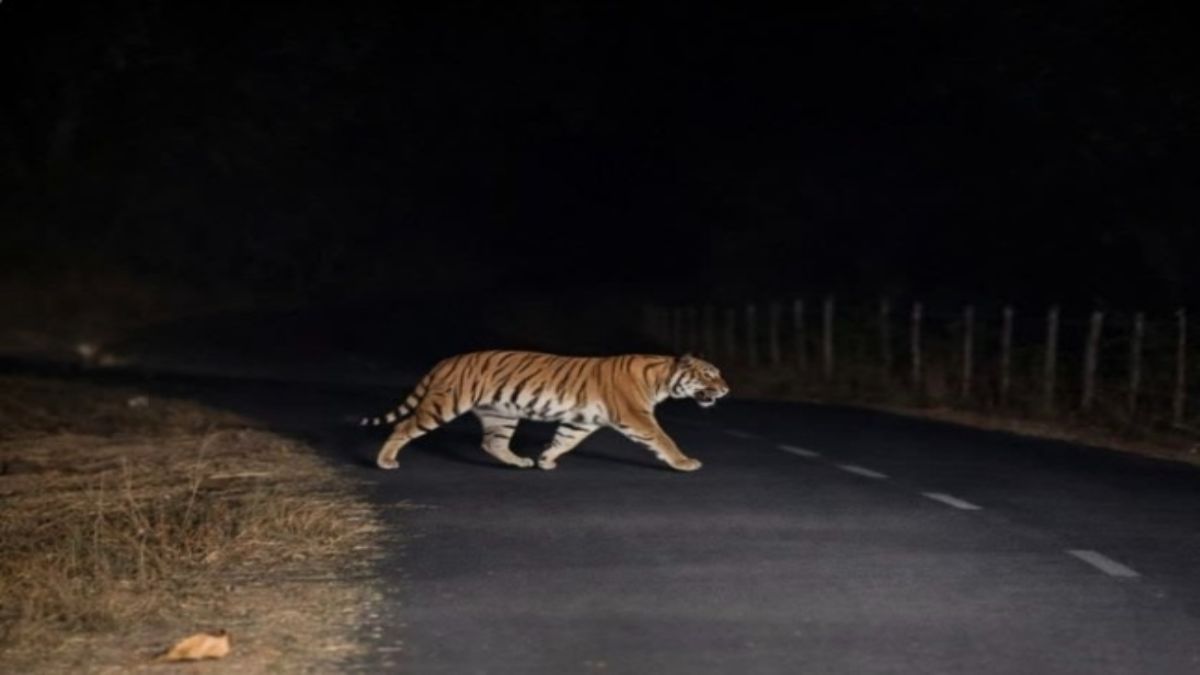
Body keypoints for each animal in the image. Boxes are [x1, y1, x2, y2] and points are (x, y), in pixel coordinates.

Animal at [360, 350, 729, 472]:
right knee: (403, 427)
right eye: (709, 374)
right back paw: (385, 461)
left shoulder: (582, 421)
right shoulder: (637, 417)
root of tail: (445, 360)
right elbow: (664, 439)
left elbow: (564, 439)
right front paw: (685, 463)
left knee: (492, 443)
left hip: (501, 414)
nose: (726, 389)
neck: (662, 377)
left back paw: (520, 462)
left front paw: (546, 460)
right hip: (443, 405)